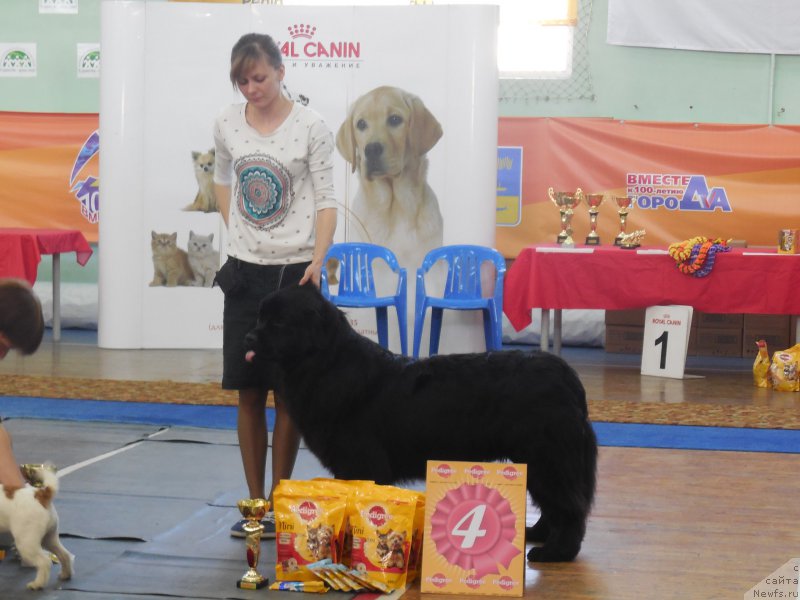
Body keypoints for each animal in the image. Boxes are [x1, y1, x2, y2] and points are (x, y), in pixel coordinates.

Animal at [247, 284, 596, 560]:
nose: (248, 336)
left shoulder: (362, 462)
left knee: (569, 507)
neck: (326, 364)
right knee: (556, 504)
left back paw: (556, 552)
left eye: (278, 322)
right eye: (260, 317)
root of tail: (567, 376)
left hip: (546, 457)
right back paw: (538, 534)